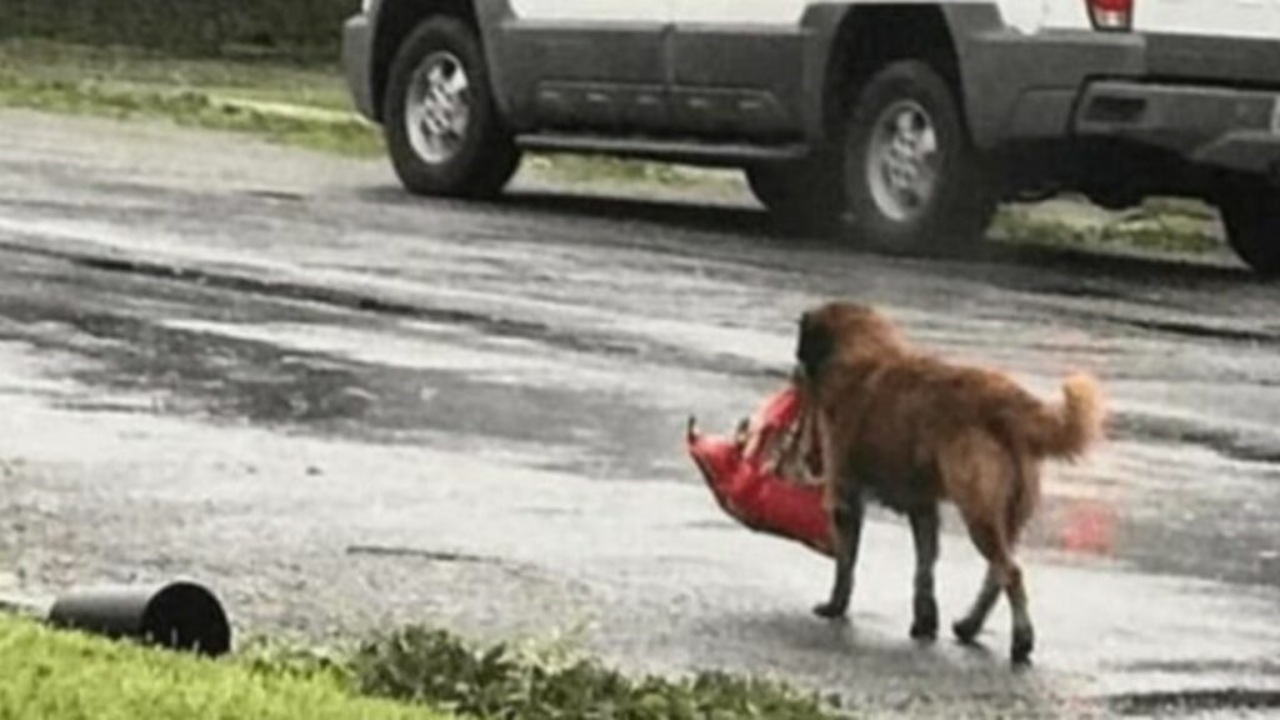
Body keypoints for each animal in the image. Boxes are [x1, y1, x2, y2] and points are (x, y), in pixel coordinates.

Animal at [788, 301, 1100, 661]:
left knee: (1011, 572)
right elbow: (925, 569)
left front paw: (835, 607)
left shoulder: (846, 498)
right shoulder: (923, 508)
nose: (793, 373)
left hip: (979, 513)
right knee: (997, 574)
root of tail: (1003, 399)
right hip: (1007, 517)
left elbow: (846, 564)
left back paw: (1021, 640)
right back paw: (969, 626)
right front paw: (925, 622)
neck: (863, 353)